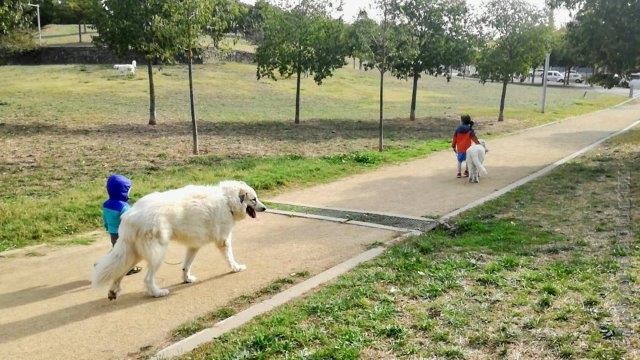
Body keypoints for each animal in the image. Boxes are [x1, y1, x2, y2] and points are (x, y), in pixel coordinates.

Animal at [91, 180, 266, 300]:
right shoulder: (224, 241)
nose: (265, 208)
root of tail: (130, 215)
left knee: (119, 272)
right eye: (254, 199)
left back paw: (113, 291)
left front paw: (186, 279)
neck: (227, 200)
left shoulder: (193, 246)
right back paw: (158, 293)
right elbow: (230, 257)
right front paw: (236, 268)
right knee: (147, 279)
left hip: (134, 253)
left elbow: (186, 266)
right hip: (157, 254)